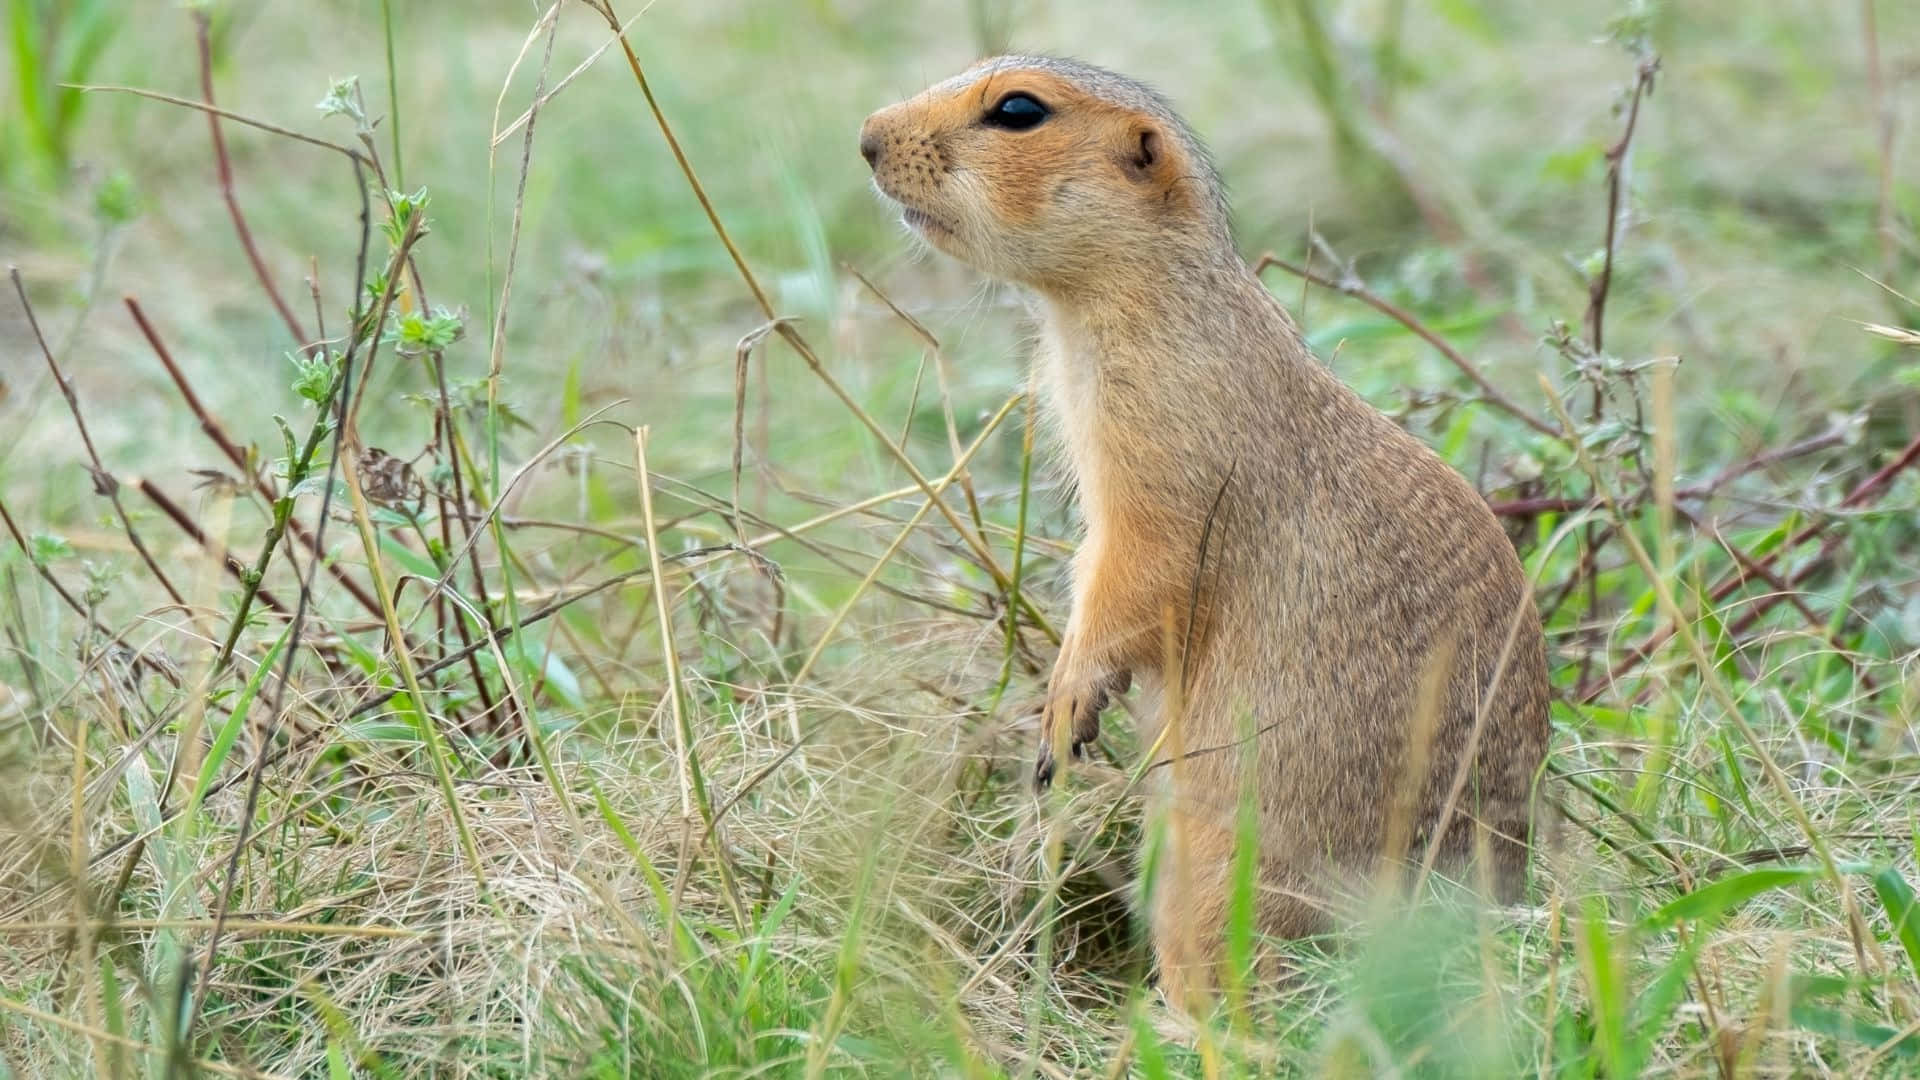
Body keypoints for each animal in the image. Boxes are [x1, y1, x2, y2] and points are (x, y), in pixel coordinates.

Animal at [864, 56, 1551, 999]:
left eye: (1018, 110)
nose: (865, 137)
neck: (1143, 299)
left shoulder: (1166, 454)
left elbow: (1142, 571)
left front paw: (1066, 705)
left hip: (1215, 863)